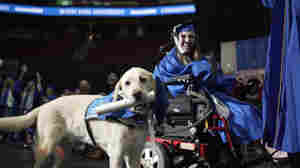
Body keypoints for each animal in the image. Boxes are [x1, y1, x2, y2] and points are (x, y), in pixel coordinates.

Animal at [0, 67, 158, 168]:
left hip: (62, 150)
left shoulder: (134, 155)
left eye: (143, 79)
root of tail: (44, 105)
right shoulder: (116, 155)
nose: (136, 94)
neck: (132, 118)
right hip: (45, 147)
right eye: (127, 83)